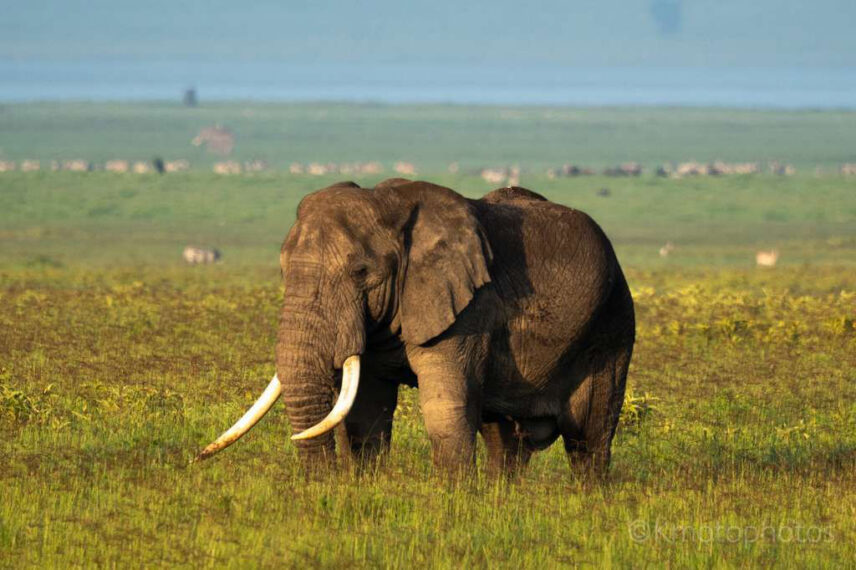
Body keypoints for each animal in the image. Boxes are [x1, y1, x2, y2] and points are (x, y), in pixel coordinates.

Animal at [196, 179, 635, 476]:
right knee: (503, 441)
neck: (389, 206)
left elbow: (445, 411)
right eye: (283, 270)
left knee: (589, 439)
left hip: (611, 328)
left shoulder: (469, 308)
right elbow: (367, 412)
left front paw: (453, 503)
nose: (322, 486)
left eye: (361, 272)